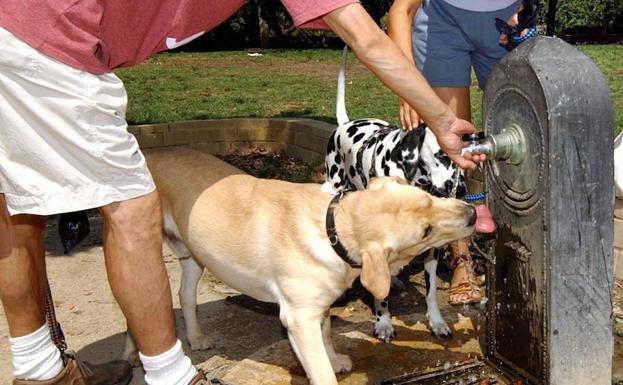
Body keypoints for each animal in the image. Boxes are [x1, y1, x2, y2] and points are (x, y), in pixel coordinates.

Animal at [127, 147, 478, 384]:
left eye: (427, 198)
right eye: (425, 232)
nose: (472, 214)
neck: (332, 228)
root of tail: (151, 154)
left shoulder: (317, 309)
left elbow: (327, 336)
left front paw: (335, 359)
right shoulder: (298, 318)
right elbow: (320, 370)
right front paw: (328, 367)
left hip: (193, 259)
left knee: (185, 296)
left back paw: (196, 337)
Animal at [322, 47, 468, 340]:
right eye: (443, 155)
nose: (461, 189)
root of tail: (344, 124)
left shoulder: (432, 249)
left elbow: (431, 292)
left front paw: (436, 322)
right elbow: (381, 293)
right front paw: (383, 322)